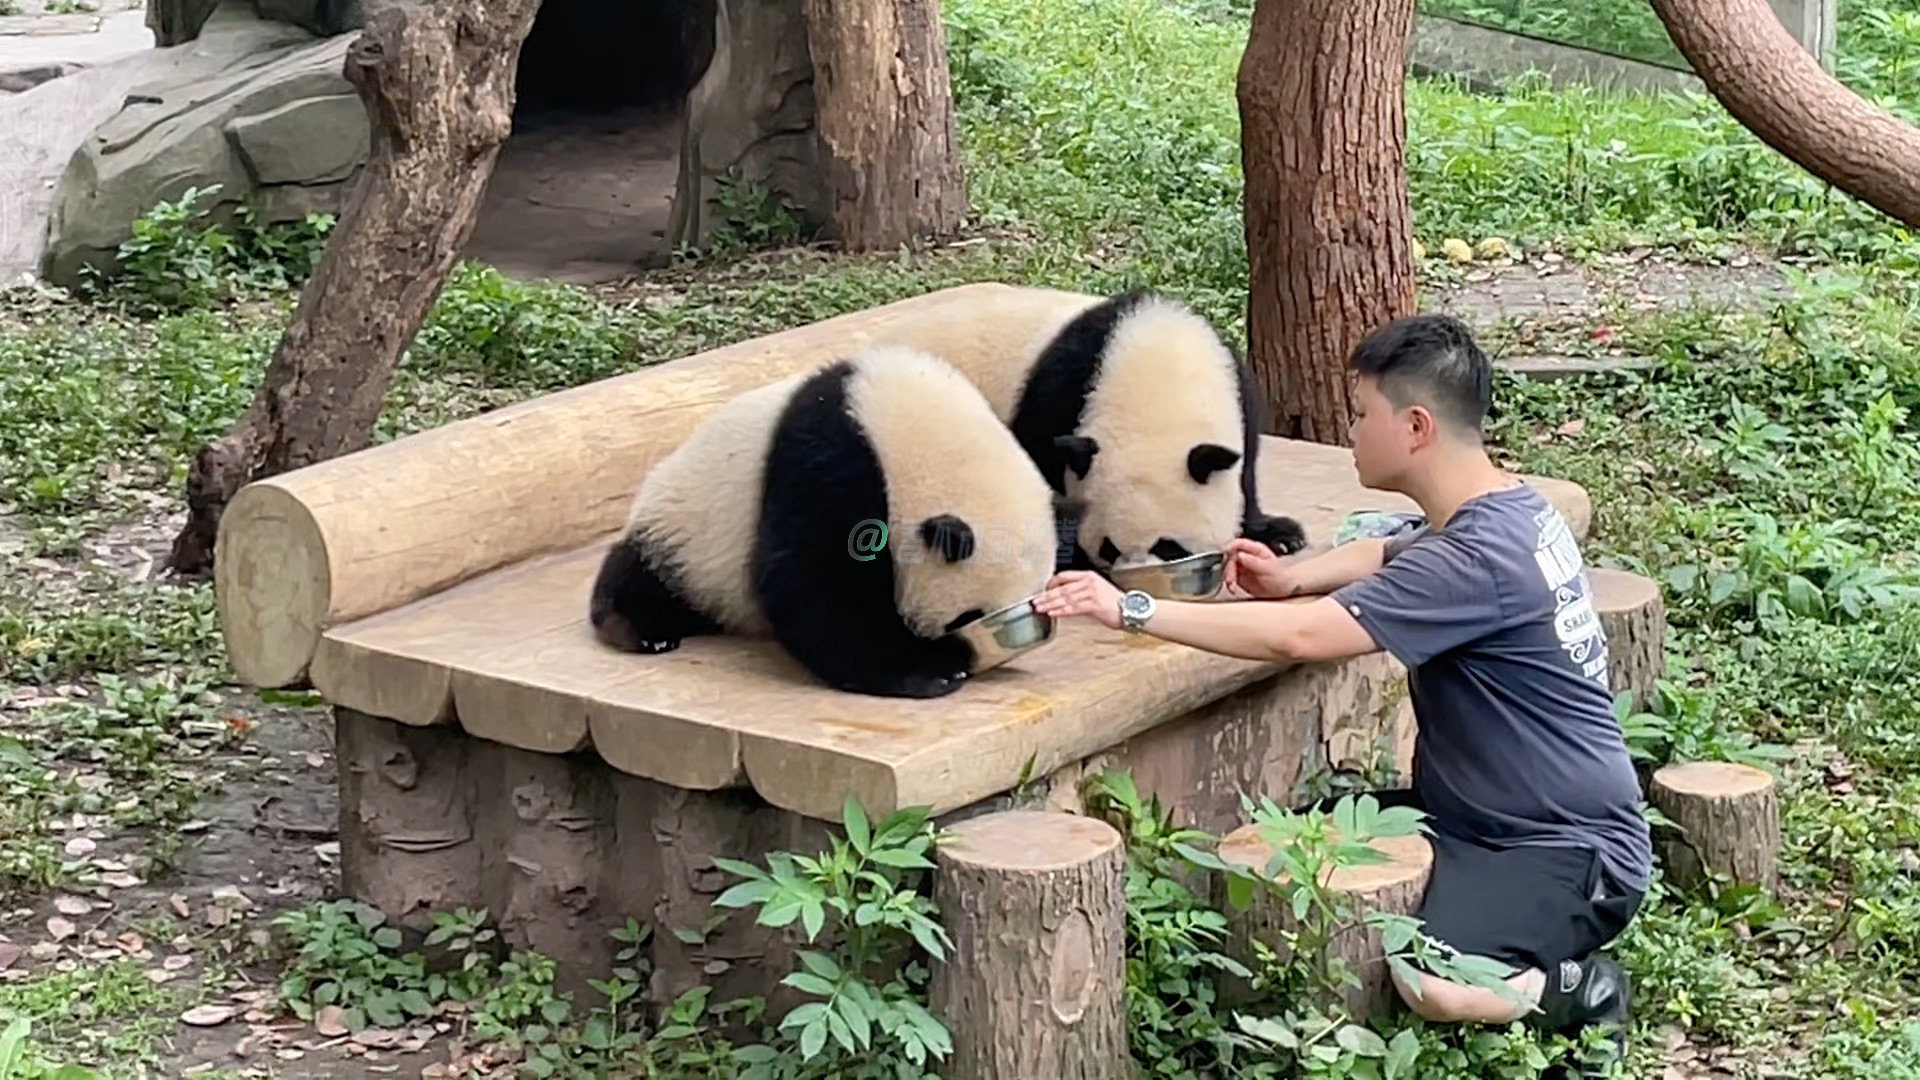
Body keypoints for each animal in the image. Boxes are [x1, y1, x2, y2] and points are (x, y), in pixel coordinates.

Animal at [591, 342, 1059, 699]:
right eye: (967, 615)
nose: (978, 652)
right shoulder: (832, 459)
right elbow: (815, 580)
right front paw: (929, 670)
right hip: (685, 531)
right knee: (645, 574)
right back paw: (640, 629)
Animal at [936, 284, 1313, 572]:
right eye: (1110, 547)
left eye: (1169, 547)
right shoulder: (1055, 402)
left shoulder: (1238, 387)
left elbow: (1245, 474)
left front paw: (1279, 535)